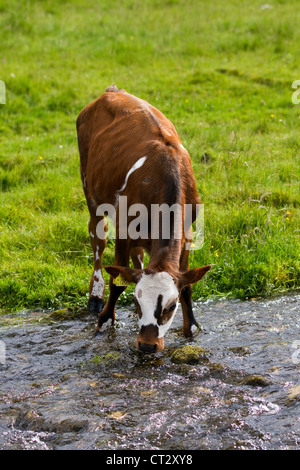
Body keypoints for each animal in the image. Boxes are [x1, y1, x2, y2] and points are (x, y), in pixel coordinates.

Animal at [75, 86, 211, 352]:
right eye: (139, 304)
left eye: (171, 306)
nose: (148, 345)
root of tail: (112, 91)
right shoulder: (123, 230)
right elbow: (117, 280)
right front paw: (105, 320)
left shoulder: (187, 235)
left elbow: (187, 286)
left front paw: (191, 328)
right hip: (91, 192)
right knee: (97, 240)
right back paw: (95, 294)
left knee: (137, 256)